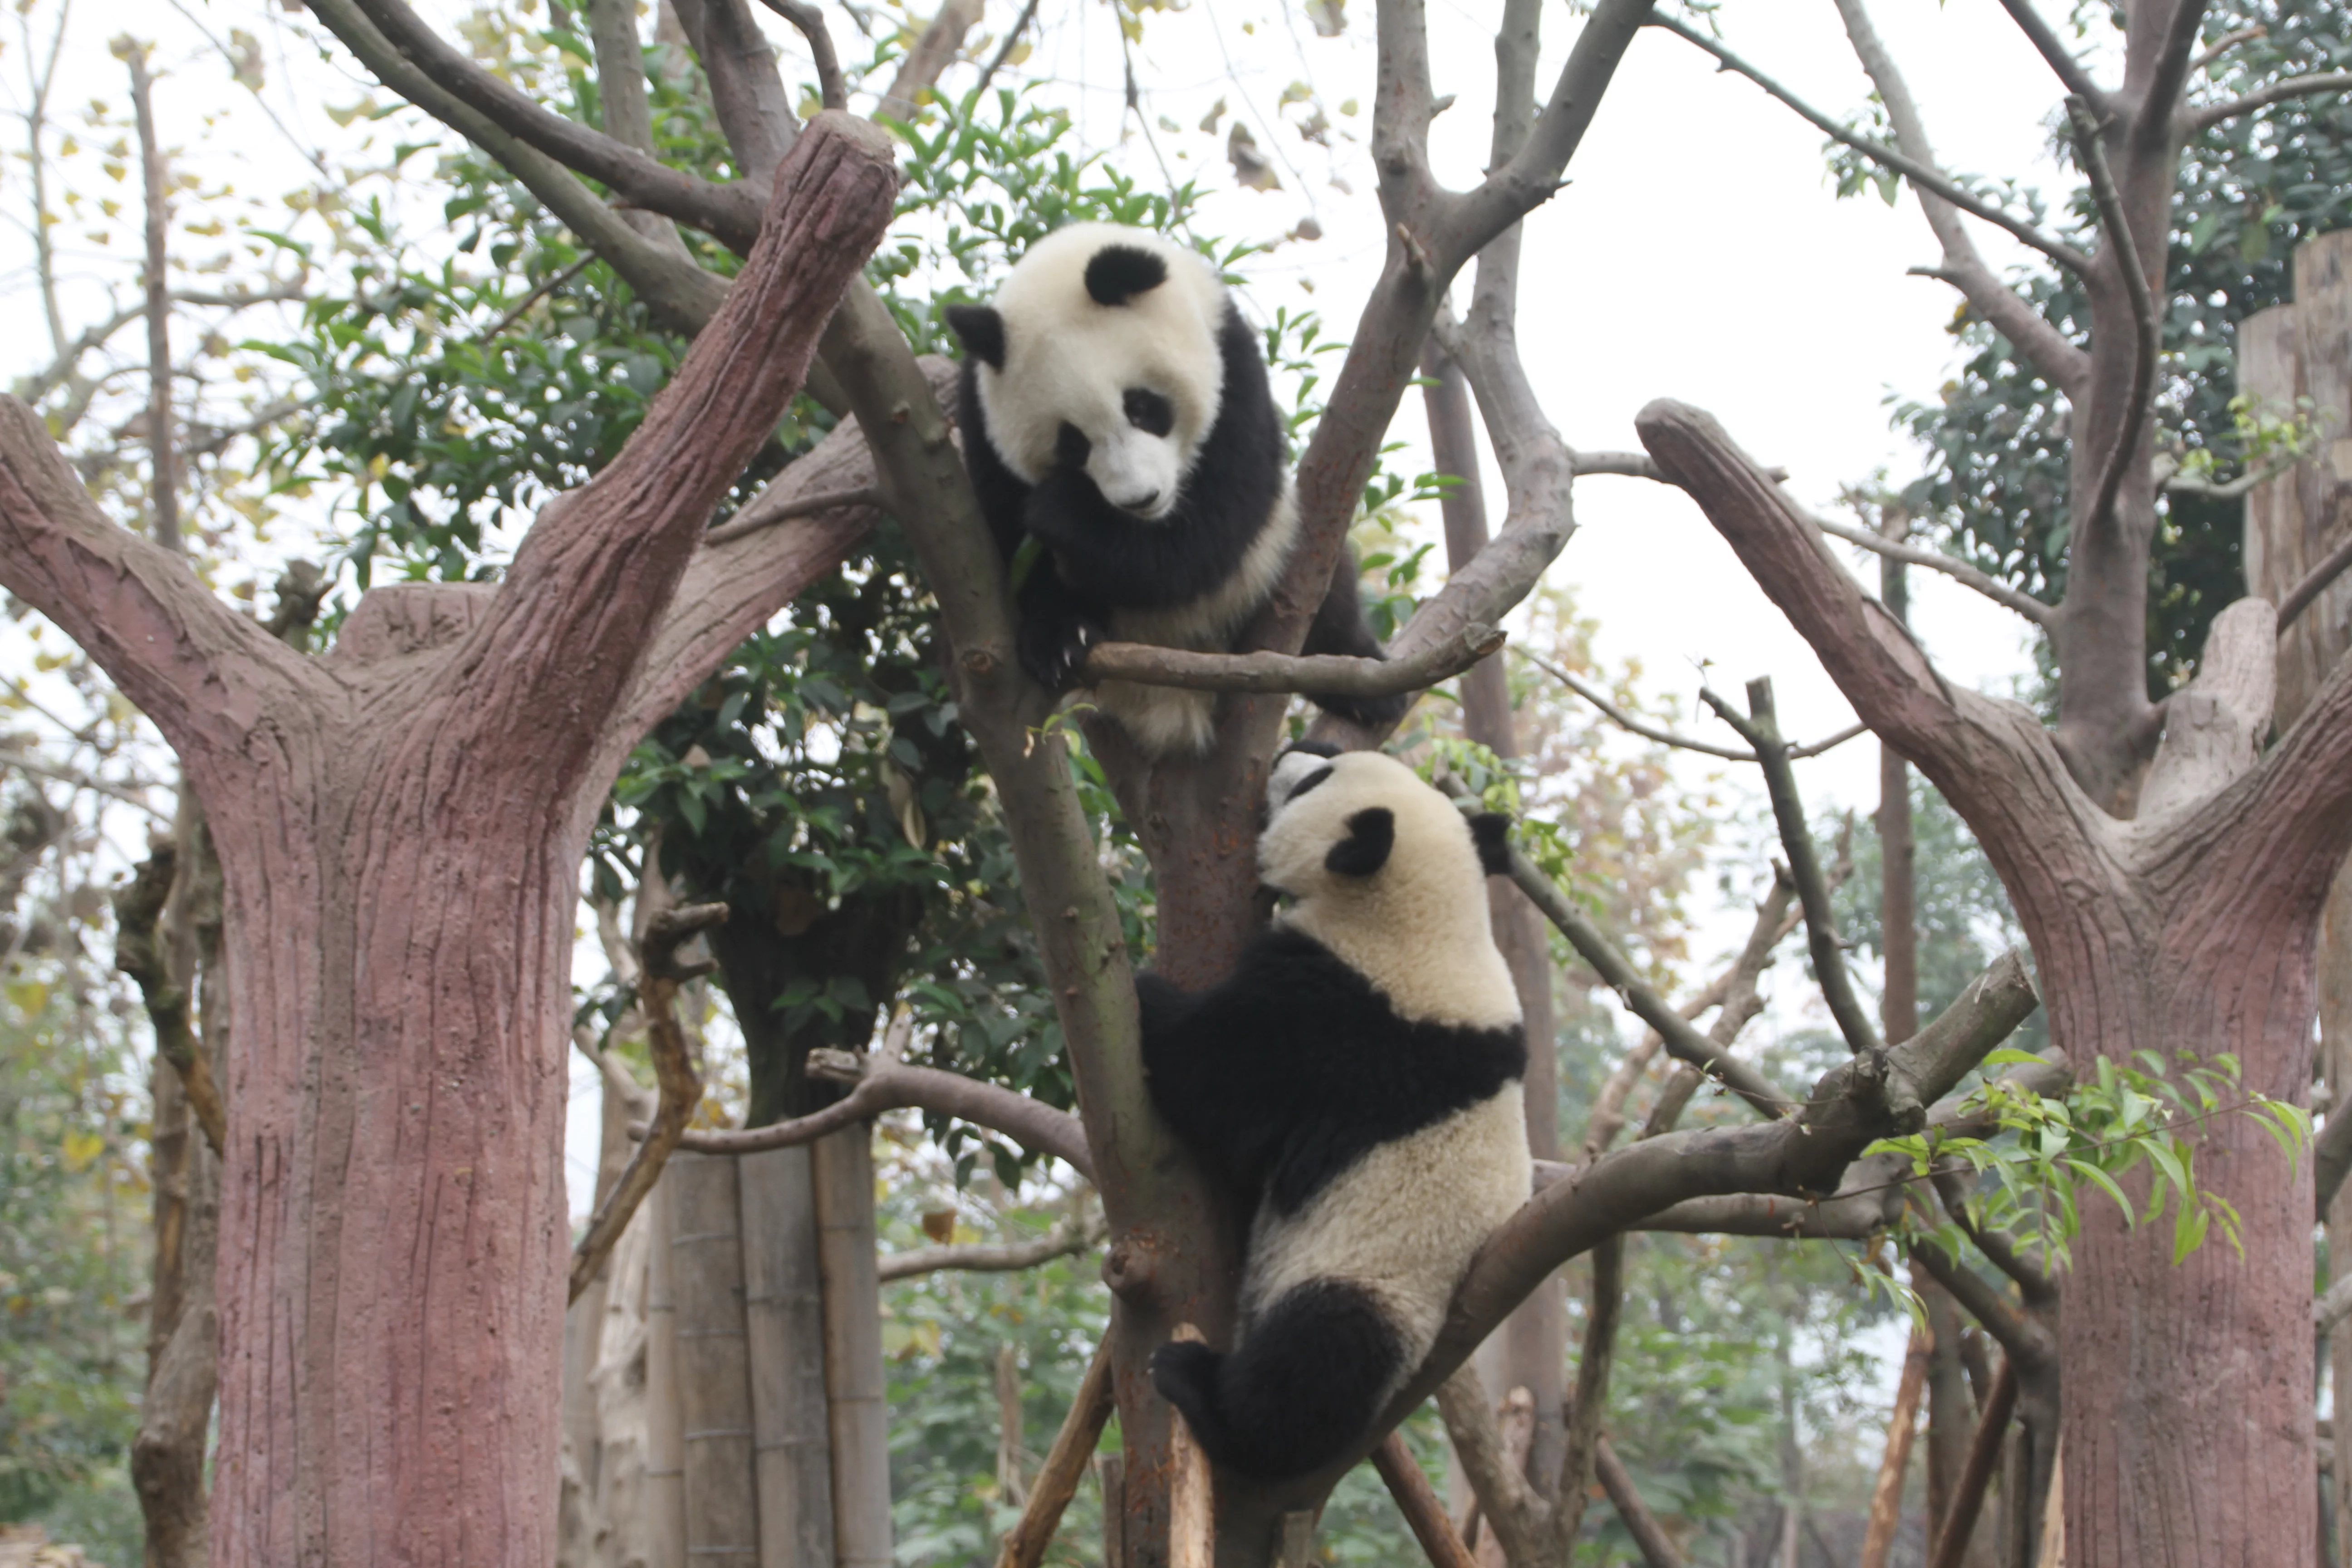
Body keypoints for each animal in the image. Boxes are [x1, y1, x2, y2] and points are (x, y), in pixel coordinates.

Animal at [943, 224, 1409, 757]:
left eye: (1143, 407)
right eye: (1072, 443)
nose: (1141, 499)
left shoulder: (1233, 366)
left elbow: (1205, 539)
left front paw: (1063, 513)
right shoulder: (981, 417)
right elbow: (1011, 542)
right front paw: (1059, 638)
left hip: (1274, 557)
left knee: (1329, 594)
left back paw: (1368, 689)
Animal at [1136, 744, 1529, 1482]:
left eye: (1317, 781)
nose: (1290, 752)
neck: (1426, 921)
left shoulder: (1347, 1014)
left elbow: (1215, 1077)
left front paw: (1142, 988)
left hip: (1375, 1280)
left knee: (1320, 1357)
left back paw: (1207, 1397)